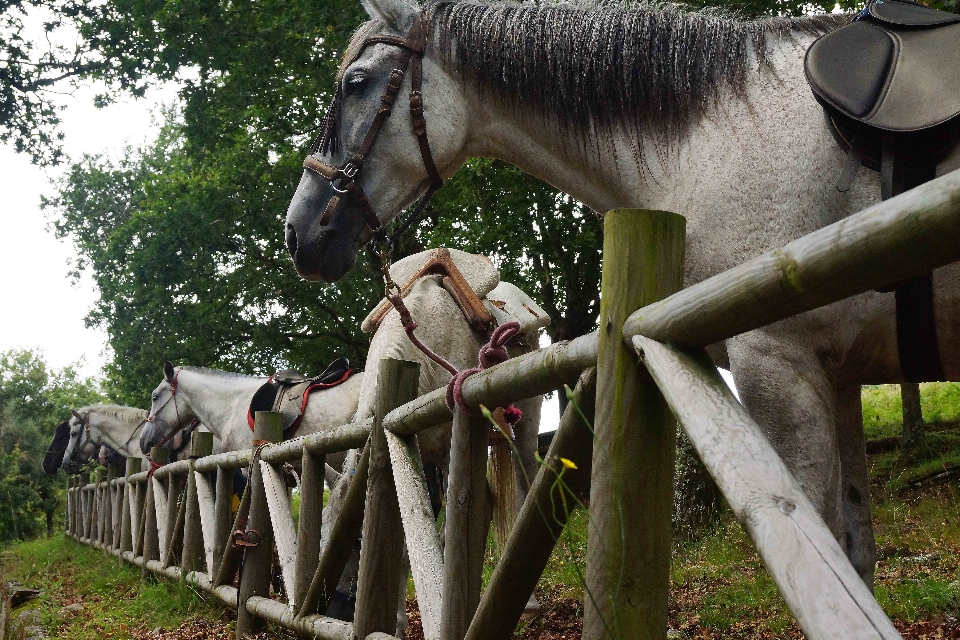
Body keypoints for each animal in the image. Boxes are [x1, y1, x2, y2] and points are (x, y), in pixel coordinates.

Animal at [282, 0, 960, 584]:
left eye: (357, 83)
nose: (298, 231)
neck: (711, 139)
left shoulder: (779, 363)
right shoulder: (836, 376)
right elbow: (856, 554)